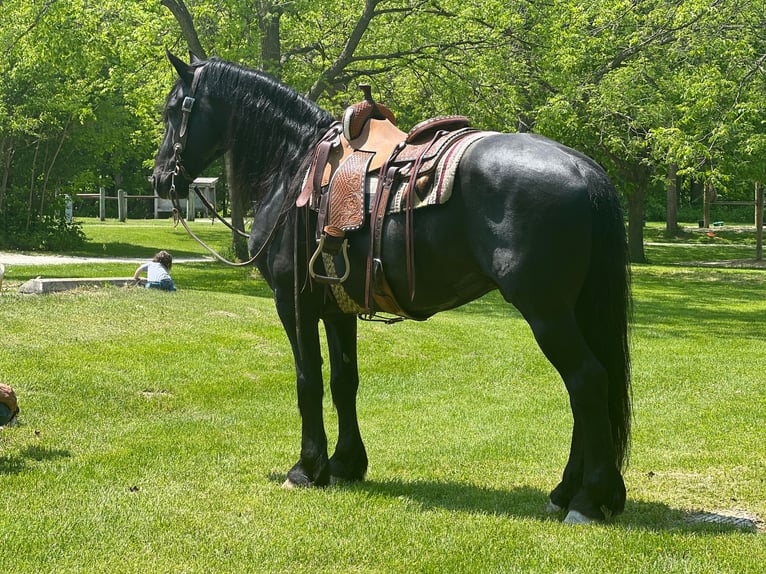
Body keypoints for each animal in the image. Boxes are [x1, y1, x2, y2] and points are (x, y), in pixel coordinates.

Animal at [153, 54, 632, 528]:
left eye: (174, 110)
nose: (159, 179)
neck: (295, 167)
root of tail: (583, 168)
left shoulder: (294, 302)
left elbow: (309, 381)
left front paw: (307, 468)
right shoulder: (338, 308)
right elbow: (344, 381)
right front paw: (345, 464)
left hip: (546, 312)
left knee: (587, 381)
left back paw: (588, 500)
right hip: (574, 311)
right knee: (589, 388)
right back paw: (568, 492)